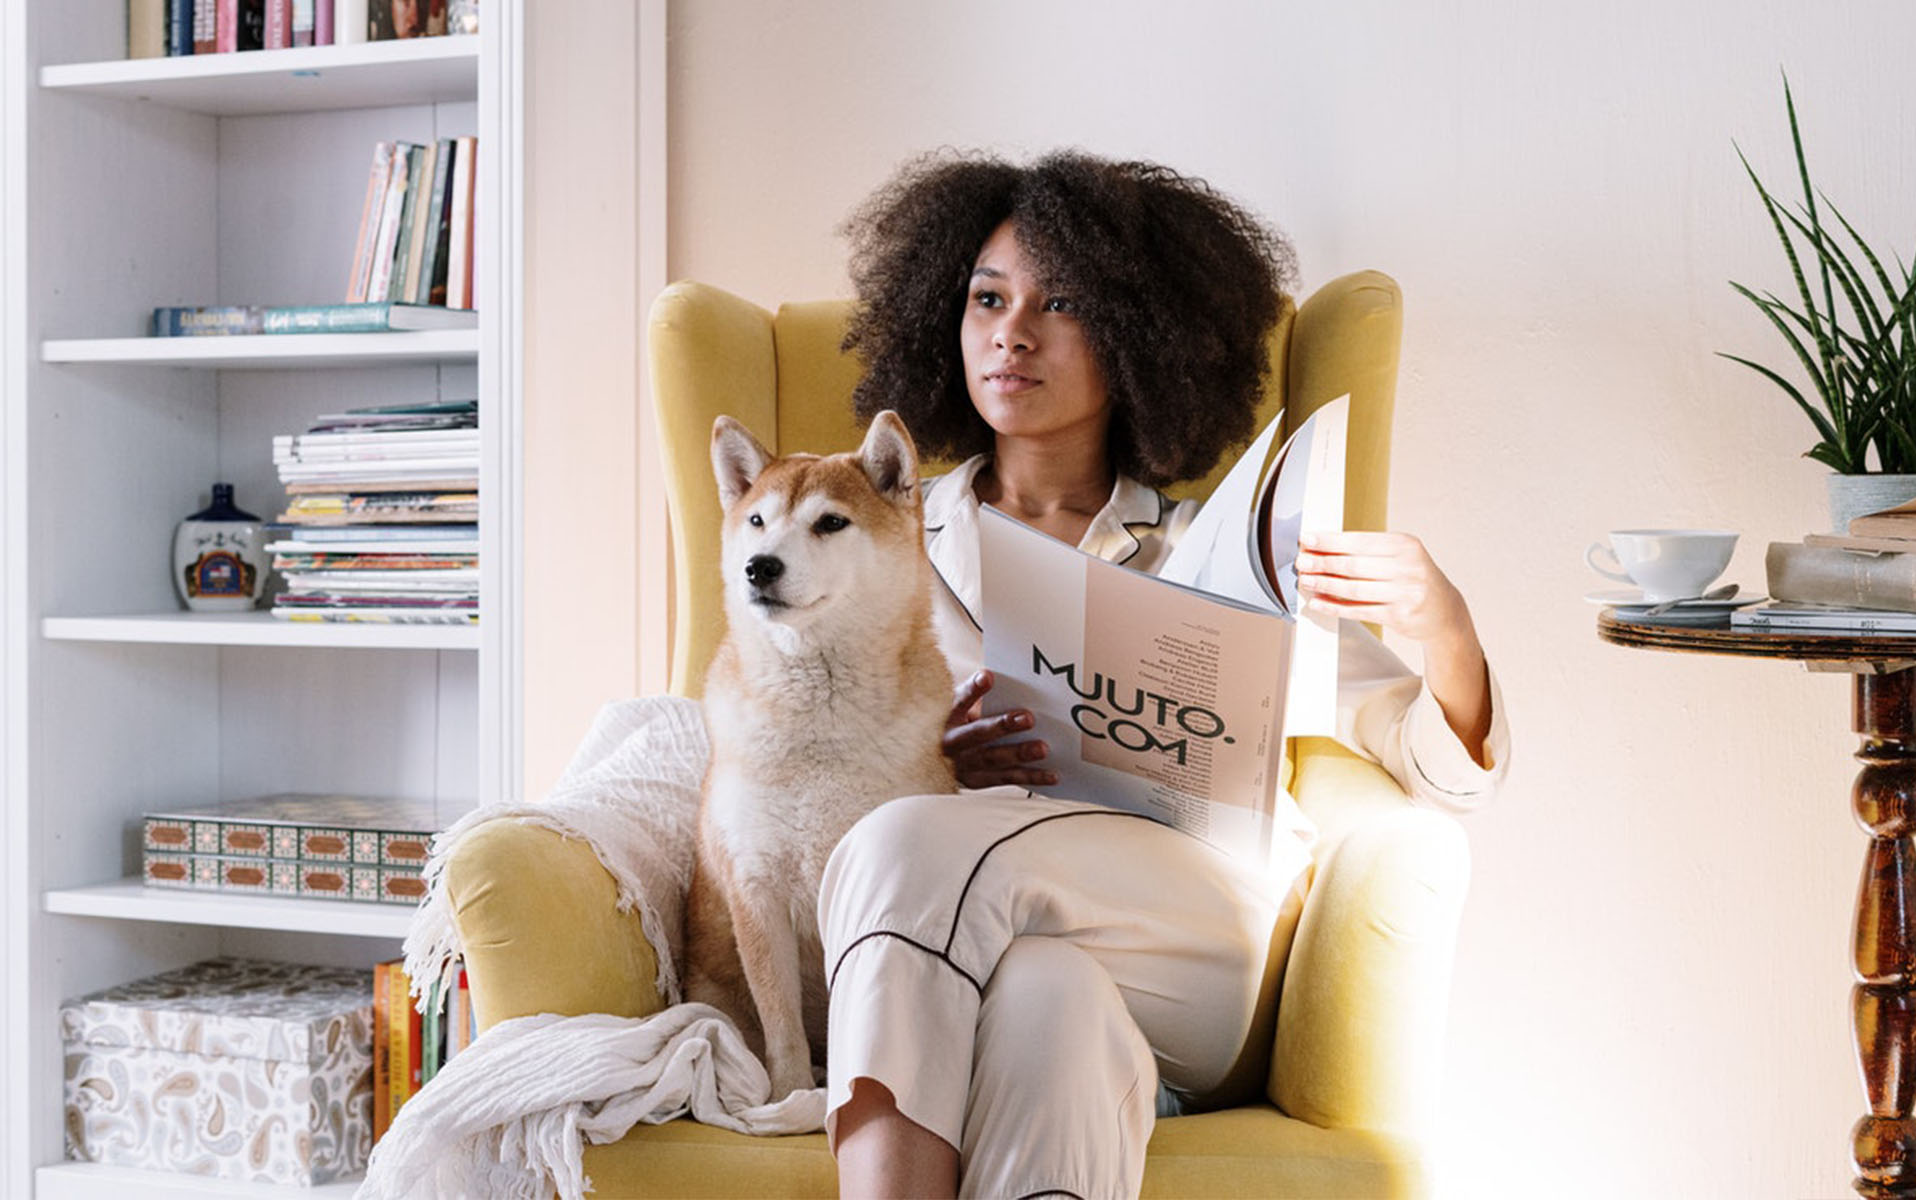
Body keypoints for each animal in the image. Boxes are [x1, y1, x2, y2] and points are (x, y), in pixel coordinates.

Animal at [689, 408, 958, 1096]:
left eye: (830, 522)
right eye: (758, 521)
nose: (759, 567)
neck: (819, 729)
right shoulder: (756, 888)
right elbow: (780, 1024)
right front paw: (790, 1096)